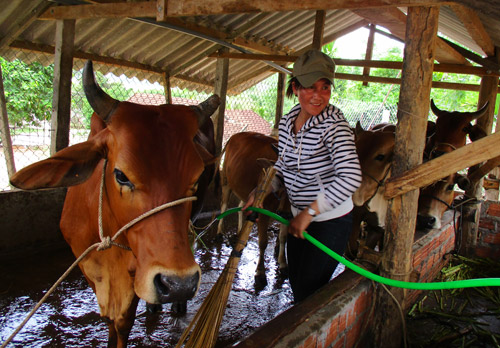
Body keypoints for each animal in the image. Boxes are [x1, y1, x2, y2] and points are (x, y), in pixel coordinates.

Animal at [8, 61, 220, 346]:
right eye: (121, 175)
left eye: (196, 179)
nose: (179, 284)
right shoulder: (87, 263)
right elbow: (110, 318)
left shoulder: (134, 271)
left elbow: (122, 322)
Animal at [216, 131, 290, 280]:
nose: (282, 212)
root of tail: (234, 136)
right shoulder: (264, 211)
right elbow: (263, 242)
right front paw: (260, 271)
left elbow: (283, 237)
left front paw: (283, 263)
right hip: (226, 179)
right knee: (224, 205)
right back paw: (219, 232)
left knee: (241, 205)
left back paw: (239, 233)